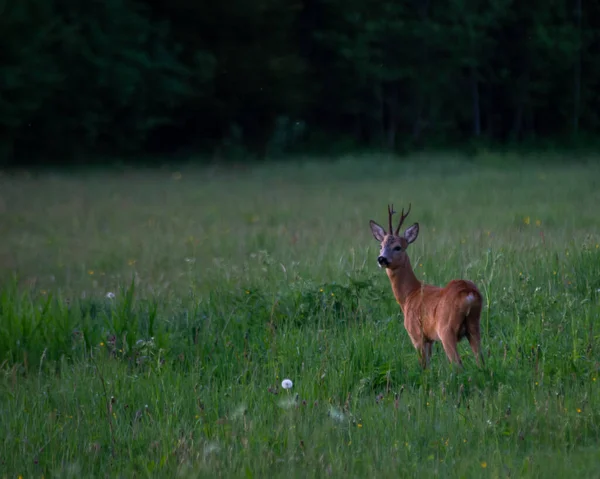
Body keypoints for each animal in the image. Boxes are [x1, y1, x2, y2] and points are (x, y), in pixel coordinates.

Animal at [370, 204, 482, 370]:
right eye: (380, 245)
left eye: (398, 247)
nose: (381, 259)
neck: (409, 294)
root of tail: (469, 293)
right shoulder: (429, 339)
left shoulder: (417, 335)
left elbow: (423, 367)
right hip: (474, 326)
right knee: (481, 360)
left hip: (446, 330)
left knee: (458, 363)